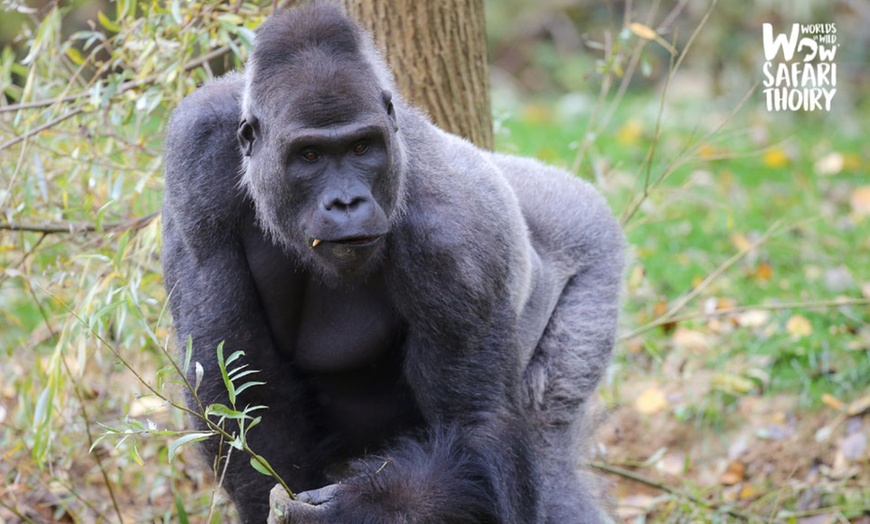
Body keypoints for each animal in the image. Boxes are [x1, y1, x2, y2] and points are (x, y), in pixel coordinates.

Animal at [162, 4, 628, 524]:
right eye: (309, 155)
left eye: (362, 148)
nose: (347, 202)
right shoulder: (196, 149)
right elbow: (241, 395)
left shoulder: (455, 245)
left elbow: (476, 427)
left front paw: (350, 509)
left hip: (591, 247)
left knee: (549, 453)